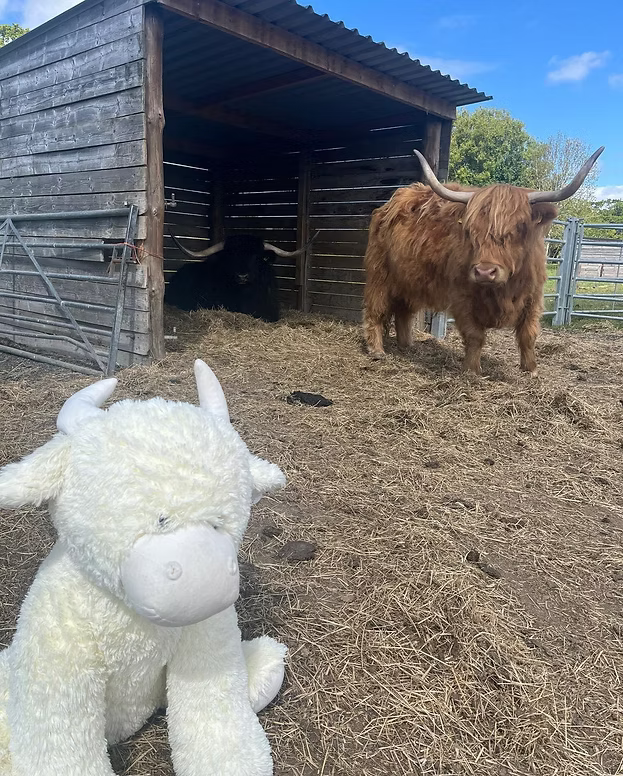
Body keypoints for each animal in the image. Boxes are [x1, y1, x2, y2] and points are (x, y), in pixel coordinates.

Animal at [362, 146, 604, 375]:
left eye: (519, 228)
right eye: (471, 230)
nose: (485, 272)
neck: (504, 289)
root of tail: (390, 204)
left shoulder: (533, 297)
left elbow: (528, 334)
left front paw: (531, 370)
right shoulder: (462, 297)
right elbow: (475, 336)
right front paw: (472, 370)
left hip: (409, 280)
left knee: (404, 312)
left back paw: (408, 346)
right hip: (379, 273)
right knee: (375, 309)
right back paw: (377, 350)